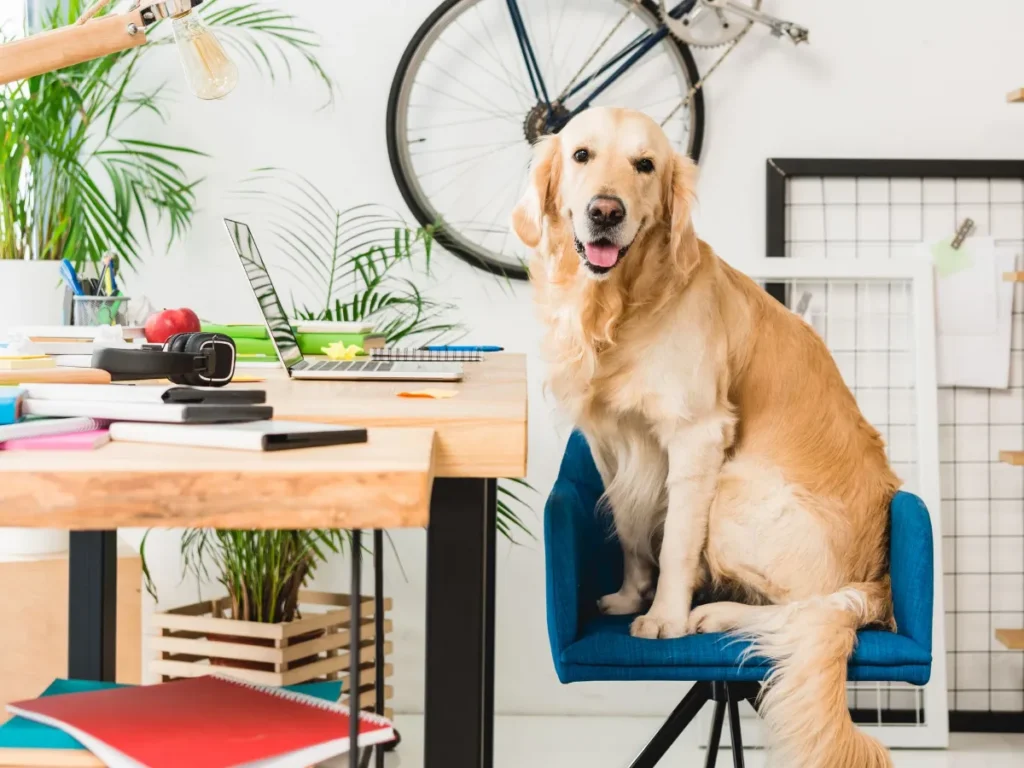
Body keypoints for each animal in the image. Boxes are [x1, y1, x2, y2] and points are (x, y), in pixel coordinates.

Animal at [512, 103, 897, 768]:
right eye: (582, 155)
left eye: (645, 165)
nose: (606, 211)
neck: (618, 307)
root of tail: (875, 581)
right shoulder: (609, 438)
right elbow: (633, 529)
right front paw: (630, 595)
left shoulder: (696, 436)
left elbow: (675, 543)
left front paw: (663, 615)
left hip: (740, 487)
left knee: (805, 608)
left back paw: (713, 614)